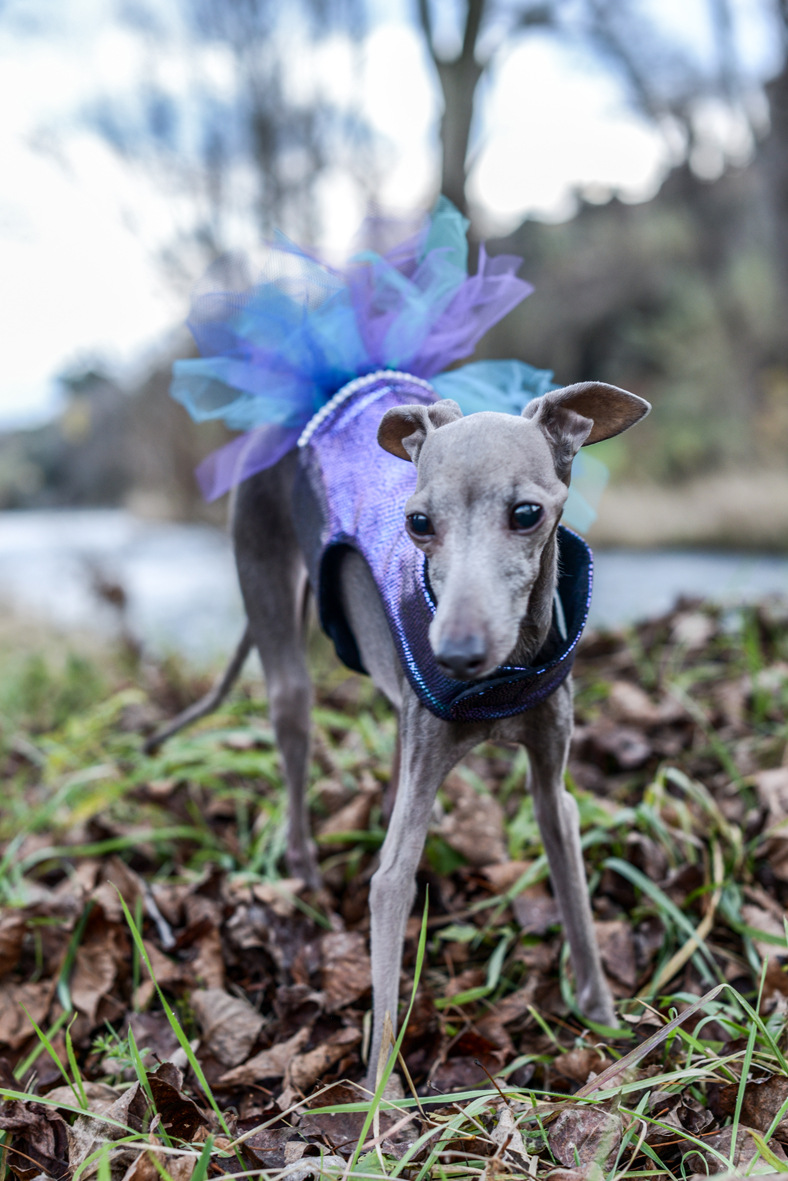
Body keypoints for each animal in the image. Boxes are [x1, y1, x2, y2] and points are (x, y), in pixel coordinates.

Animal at [149, 374, 650, 1086]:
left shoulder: (553, 787)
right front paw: (377, 1108)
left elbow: (575, 900)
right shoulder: (399, 854)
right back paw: (308, 884)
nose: (457, 655)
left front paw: (608, 1030)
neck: (504, 681)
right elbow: (389, 903)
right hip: (280, 643)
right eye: (419, 524)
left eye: (527, 513)